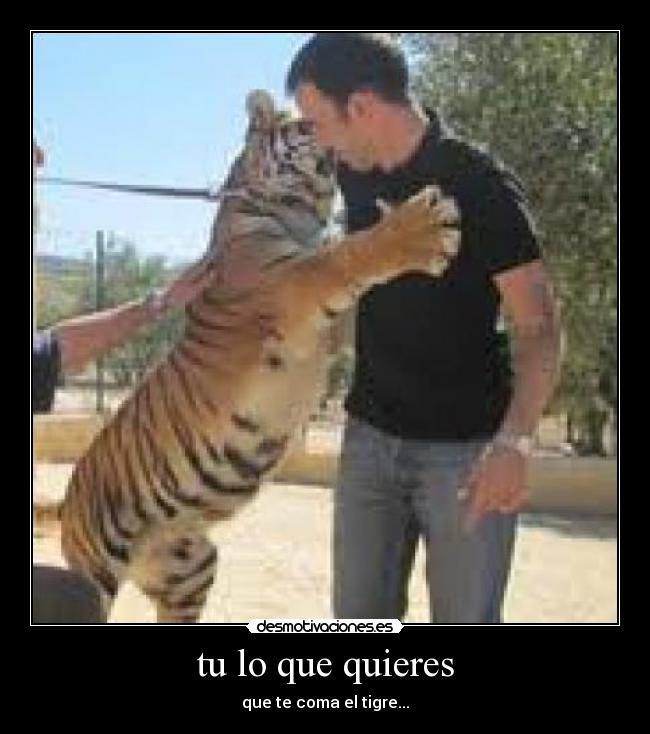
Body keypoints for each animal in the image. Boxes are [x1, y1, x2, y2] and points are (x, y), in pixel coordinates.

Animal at [57, 89, 461, 623]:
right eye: (309, 120)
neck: (299, 211)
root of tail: (66, 504)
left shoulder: (334, 327)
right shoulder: (295, 285)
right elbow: (347, 254)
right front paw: (421, 226)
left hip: (190, 570)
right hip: (96, 578)